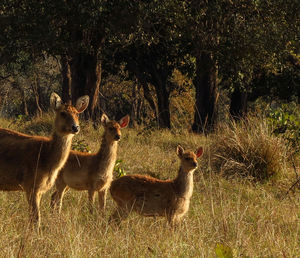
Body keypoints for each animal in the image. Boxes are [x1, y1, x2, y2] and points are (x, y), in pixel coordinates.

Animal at [0, 92, 89, 226]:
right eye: (62, 113)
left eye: (77, 113)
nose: (76, 127)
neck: (47, 159)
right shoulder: (31, 185)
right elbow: (36, 219)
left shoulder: (39, 189)